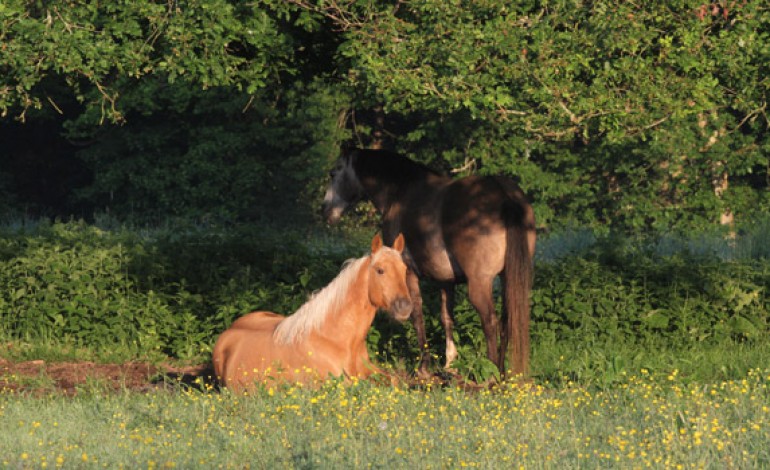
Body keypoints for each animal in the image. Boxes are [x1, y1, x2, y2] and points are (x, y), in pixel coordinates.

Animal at [320, 150, 536, 378]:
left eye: (334, 173)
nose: (324, 210)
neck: (401, 191)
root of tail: (503, 194)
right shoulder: (446, 281)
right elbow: (446, 318)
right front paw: (449, 364)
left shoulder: (408, 274)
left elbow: (416, 314)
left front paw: (423, 368)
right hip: (507, 279)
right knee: (506, 322)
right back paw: (502, 373)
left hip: (480, 283)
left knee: (490, 322)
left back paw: (492, 373)